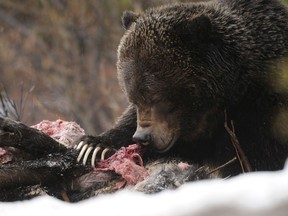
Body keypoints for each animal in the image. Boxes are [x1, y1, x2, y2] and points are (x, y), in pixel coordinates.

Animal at [75, 0, 288, 176]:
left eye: (157, 97)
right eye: (133, 98)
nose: (143, 137)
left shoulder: (261, 114)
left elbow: (259, 160)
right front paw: (93, 146)